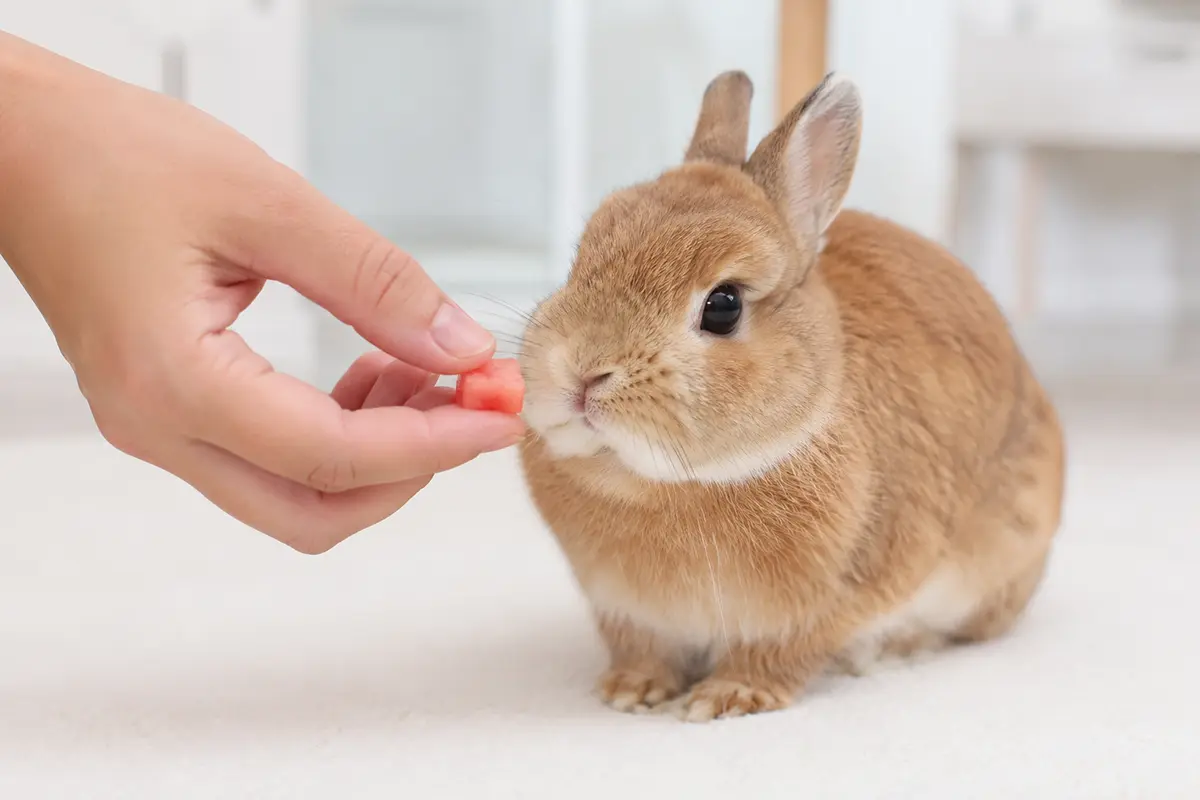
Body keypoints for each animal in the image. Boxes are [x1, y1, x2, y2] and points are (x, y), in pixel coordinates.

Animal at [517, 70, 1065, 722]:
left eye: (724, 306)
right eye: (580, 260)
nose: (580, 372)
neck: (665, 484)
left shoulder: (820, 606)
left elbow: (777, 656)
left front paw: (727, 698)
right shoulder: (627, 611)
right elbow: (643, 649)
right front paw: (632, 690)